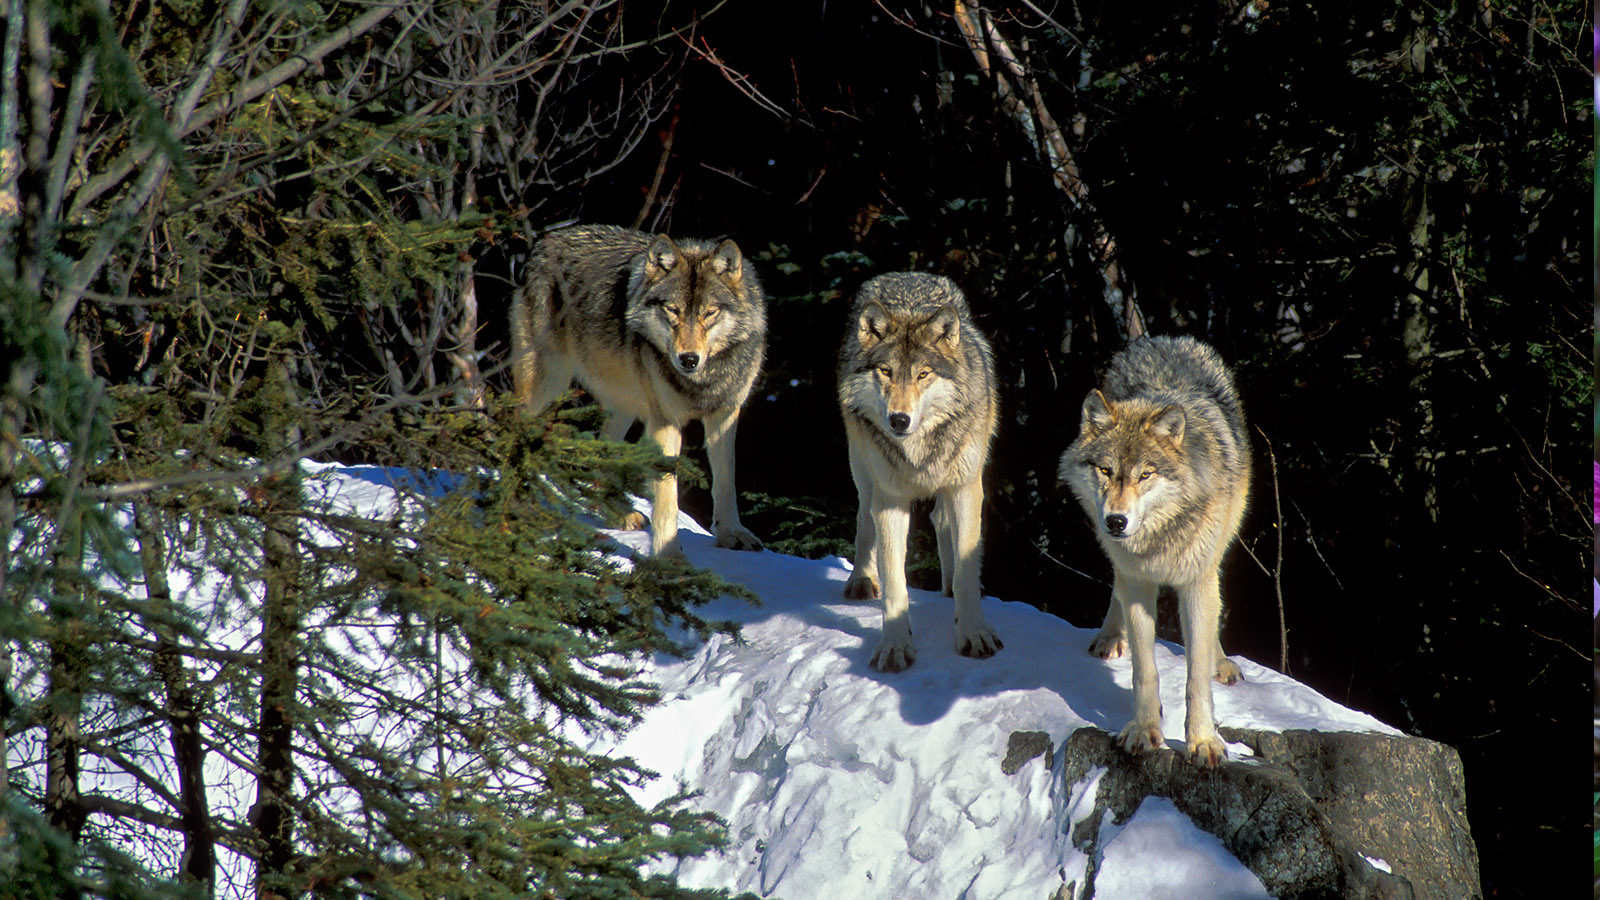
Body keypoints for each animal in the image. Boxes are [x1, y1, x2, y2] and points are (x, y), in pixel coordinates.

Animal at [508, 220, 764, 557]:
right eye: (673, 310)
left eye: (709, 313)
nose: (688, 359)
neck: (702, 380)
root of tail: (542, 242)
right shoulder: (665, 421)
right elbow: (667, 495)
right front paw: (669, 557)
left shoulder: (724, 415)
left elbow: (726, 481)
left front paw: (732, 534)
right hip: (546, 384)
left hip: (622, 405)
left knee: (602, 455)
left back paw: (618, 514)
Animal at [838, 269, 998, 669]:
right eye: (886, 371)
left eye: (923, 374)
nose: (899, 420)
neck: (918, 449)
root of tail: (905, 273)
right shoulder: (891, 499)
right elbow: (895, 582)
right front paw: (894, 646)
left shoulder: (966, 487)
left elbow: (968, 572)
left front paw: (973, 633)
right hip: (862, 466)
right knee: (864, 517)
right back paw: (861, 580)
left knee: (942, 521)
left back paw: (948, 586)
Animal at [1062, 333, 1248, 768]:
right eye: (1106, 470)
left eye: (1145, 474)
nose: (1116, 521)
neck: (1159, 539)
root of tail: (1167, 339)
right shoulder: (1138, 581)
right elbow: (1144, 671)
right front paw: (1144, 731)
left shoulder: (1196, 582)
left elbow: (1196, 675)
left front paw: (1202, 741)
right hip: (1116, 558)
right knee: (1115, 590)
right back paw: (1110, 637)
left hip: (1219, 549)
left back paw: (1221, 662)